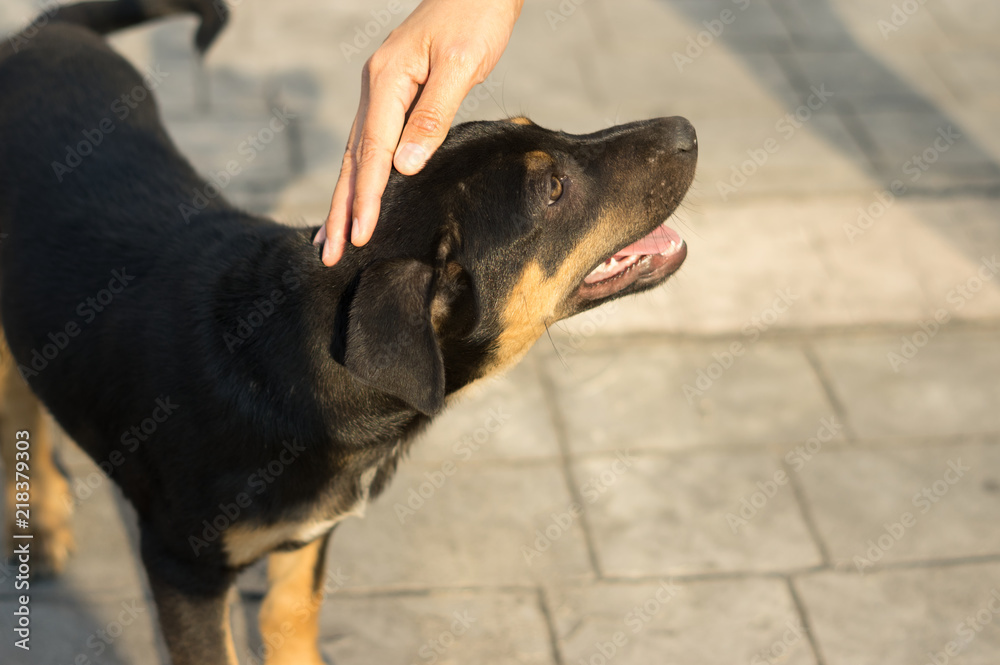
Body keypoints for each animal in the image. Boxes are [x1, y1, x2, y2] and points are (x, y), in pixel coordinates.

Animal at [0, 2, 700, 660]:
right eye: (552, 188)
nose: (688, 130)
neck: (293, 362)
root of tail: (41, 31)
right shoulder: (182, 566)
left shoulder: (309, 534)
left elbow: (289, 615)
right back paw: (37, 519)